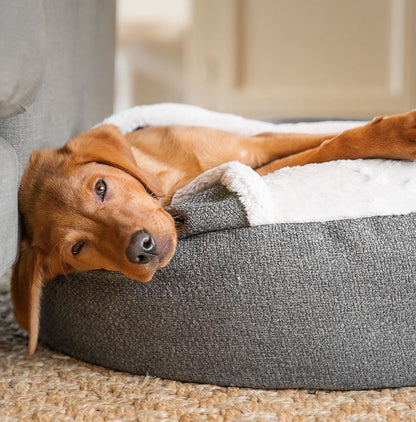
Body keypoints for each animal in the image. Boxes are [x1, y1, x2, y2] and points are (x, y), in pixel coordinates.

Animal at [12, 110, 416, 354]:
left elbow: (333, 136)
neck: (173, 175)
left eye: (100, 187)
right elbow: (323, 149)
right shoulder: (252, 164)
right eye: (78, 249)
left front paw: (396, 130)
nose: (142, 248)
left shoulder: (256, 143)